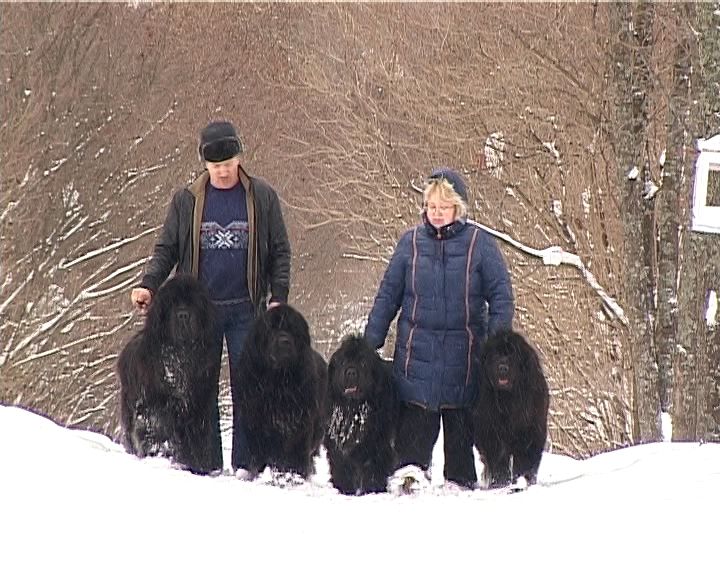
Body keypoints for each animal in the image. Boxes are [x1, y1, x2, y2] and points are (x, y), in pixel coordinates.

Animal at [117, 276, 222, 474]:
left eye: (193, 303)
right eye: (172, 304)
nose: (183, 315)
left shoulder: (199, 403)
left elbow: (199, 436)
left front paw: (198, 465)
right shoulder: (153, 403)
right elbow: (155, 427)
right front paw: (159, 454)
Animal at [232, 304, 328, 480]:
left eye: (292, 330)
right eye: (271, 330)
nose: (285, 341)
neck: (278, 383)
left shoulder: (300, 427)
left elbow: (296, 457)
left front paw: (296, 476)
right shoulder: (255, 422)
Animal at [326, 338, 400, 496]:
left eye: (363, 362)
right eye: (343, 361)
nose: (351, 372)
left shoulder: (378, 447)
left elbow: (373, 472)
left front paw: (372, 491)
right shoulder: (337, 448)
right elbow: (342, 470)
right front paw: (345, 491)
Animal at [472, 328, 552, 486]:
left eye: (512, 355)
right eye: (496, 355)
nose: (503, 368)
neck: (507, 400)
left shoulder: (529, 432)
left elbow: (524, 461)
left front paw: (521, 481)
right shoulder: (491, 431)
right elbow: (498, 460)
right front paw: (501, 482)